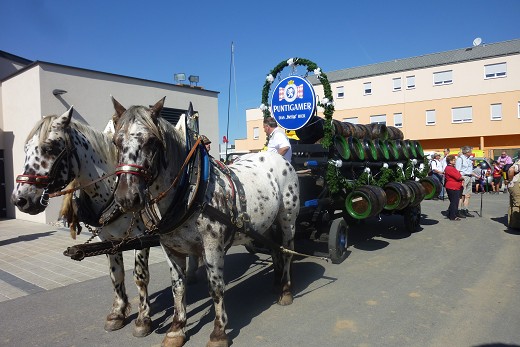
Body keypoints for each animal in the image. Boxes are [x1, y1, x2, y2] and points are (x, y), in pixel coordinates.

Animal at [10, 108, 154, 338]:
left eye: (49, 147)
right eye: (25, 149)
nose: (20, 200)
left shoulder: (141, 238)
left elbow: (140, 277)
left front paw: (143, 319)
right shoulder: (109, 239)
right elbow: (116, 275)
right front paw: (117, 313)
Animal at [112, 97, 300, 347]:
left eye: (151, 141)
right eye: (116, 141)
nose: (127, 197)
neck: (190, 189)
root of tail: (277, 158)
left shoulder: (212, 245)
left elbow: (216, 287)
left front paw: (219, 332)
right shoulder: (171, 248)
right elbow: (178, 287)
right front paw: (176, 329)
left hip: (287, 219)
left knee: (287, 251)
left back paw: (286, 290)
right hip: (266, 225)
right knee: (275, 249)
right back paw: (276, 283)